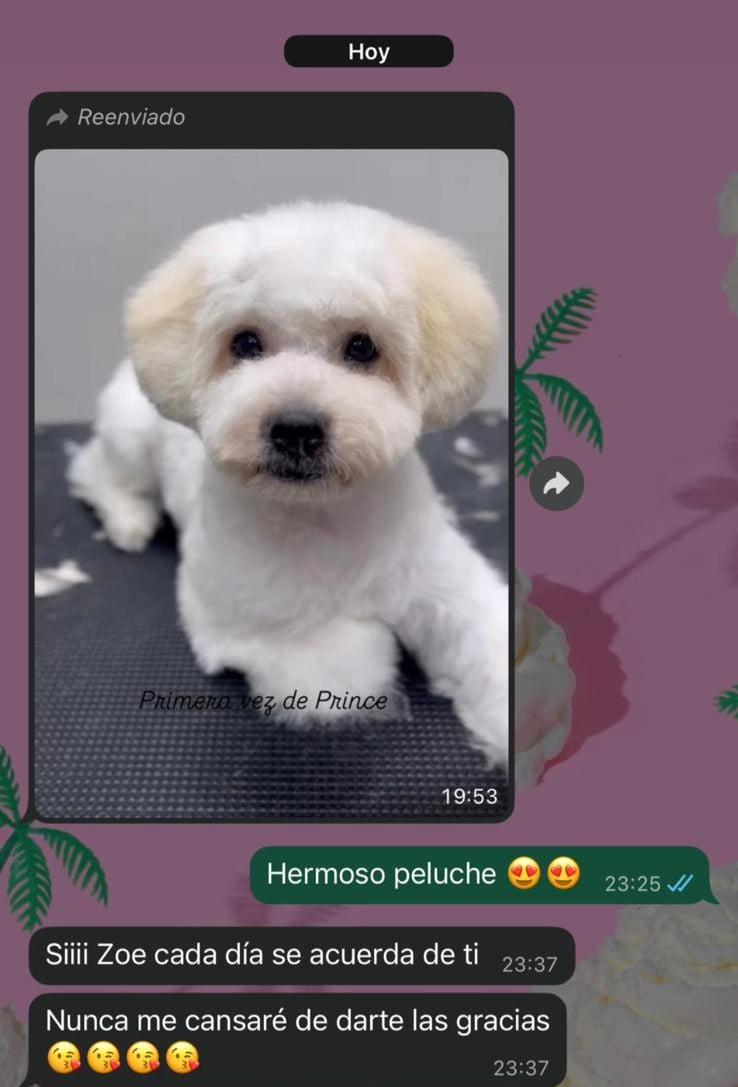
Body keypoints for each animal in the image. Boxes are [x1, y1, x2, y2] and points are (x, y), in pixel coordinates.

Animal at [68, 201, 509, 768]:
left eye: (362, 346)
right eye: (245, 343)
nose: (296, 428)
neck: (326, 520)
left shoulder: (445, 584)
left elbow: (488, 640)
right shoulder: (255, 626)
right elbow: (348, 663)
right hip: (129, 437)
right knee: (94, 471)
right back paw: (129, 519)